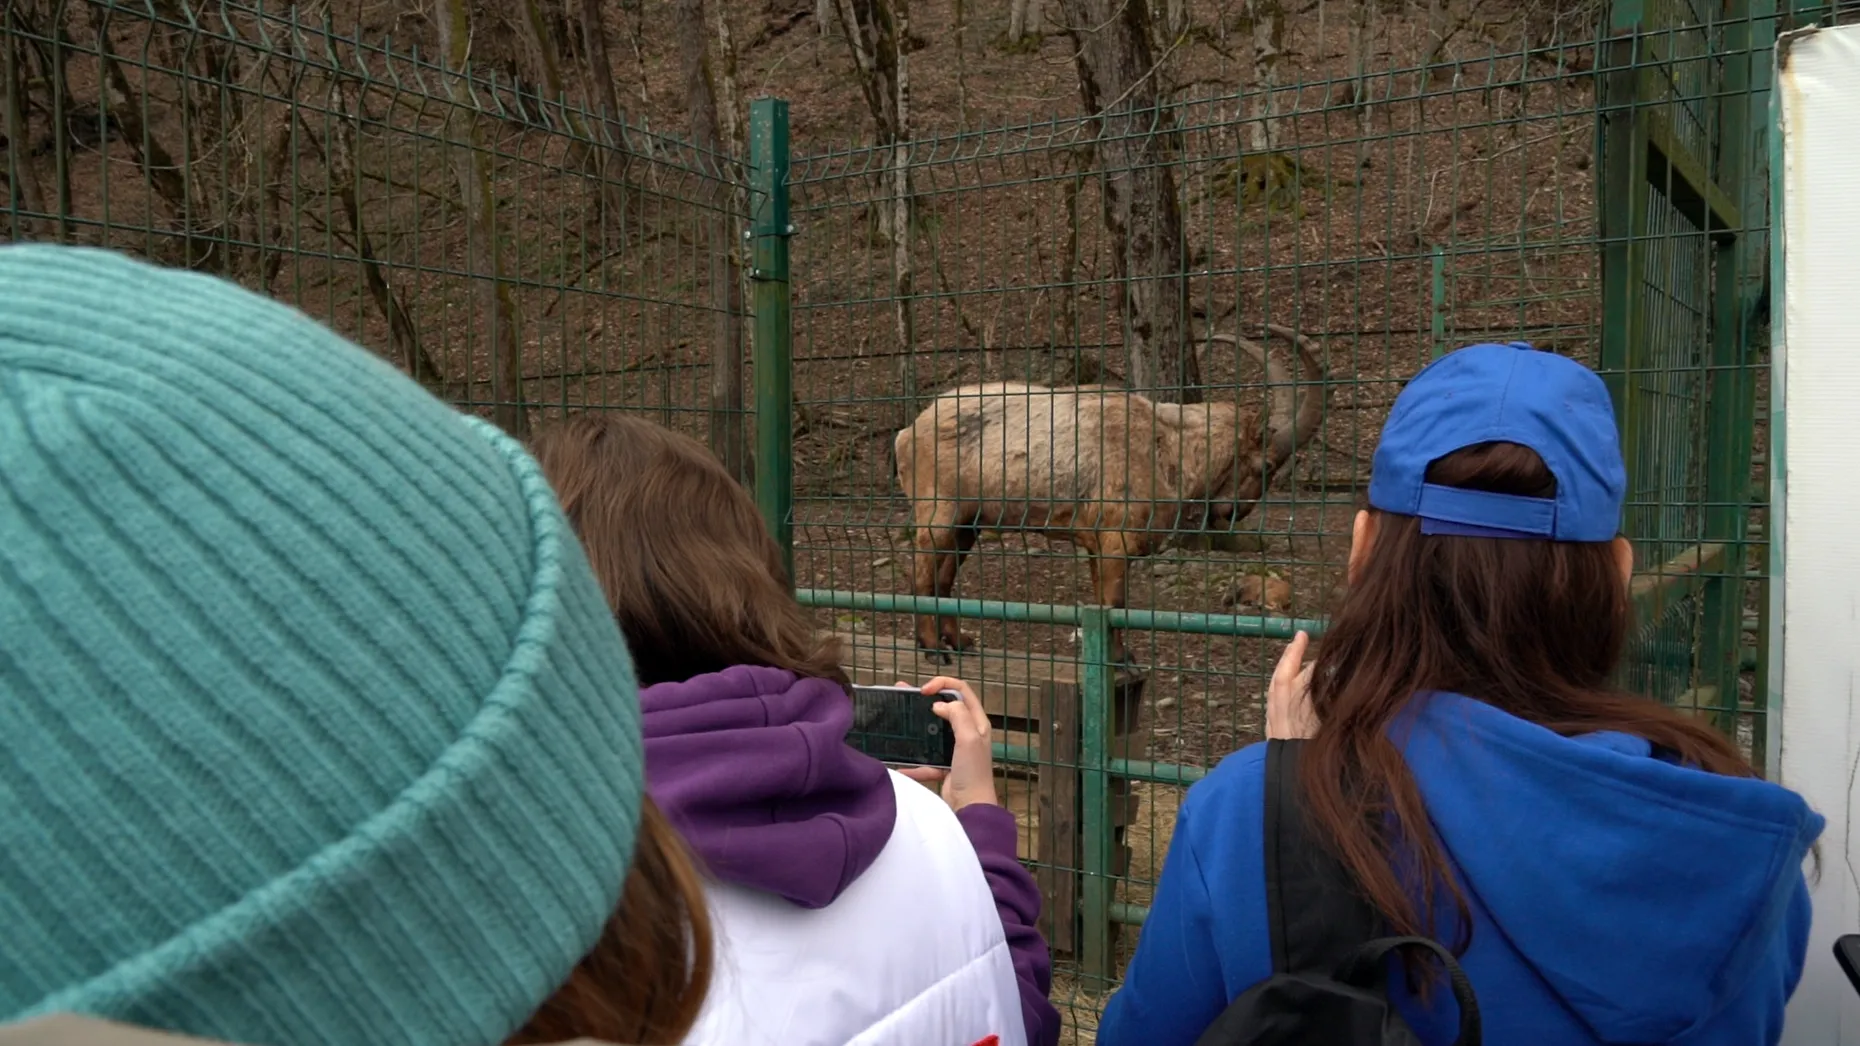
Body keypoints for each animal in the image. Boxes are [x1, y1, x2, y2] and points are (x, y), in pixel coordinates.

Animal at [896, 327, 1324, 658]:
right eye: (1267, 466)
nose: (1234, 511)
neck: (1166, 443)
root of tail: (907, 433)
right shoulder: (1117, 540)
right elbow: (1116, 603)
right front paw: (1120, 661)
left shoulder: (1096, 544)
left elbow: (1102, 601)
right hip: (939, 511)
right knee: (922, 573)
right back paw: (932, 647)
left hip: (969, 522)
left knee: (944, 579)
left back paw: (958, 641)